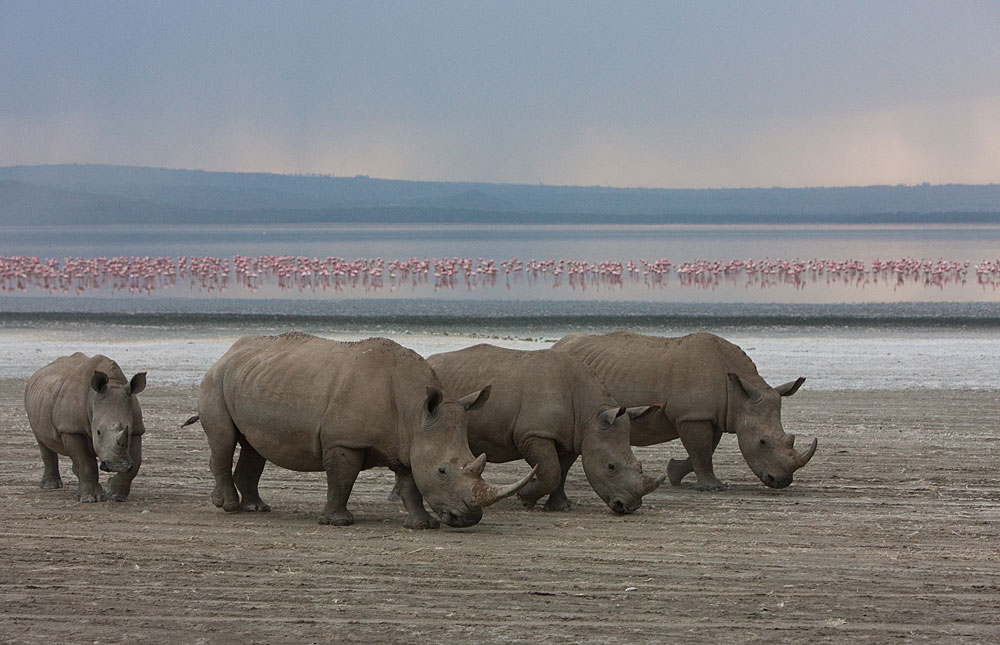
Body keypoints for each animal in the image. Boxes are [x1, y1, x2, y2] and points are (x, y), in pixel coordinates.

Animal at [25, 353, 147, 502]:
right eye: (98, 432)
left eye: (128, 430)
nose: (117, 465)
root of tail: (36, 373)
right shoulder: (71, 429)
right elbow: (86, 463)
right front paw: (90, 498)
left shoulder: (137, 429)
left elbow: (136, 462)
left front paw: (115, 494)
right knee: (42, 441)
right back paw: (50, 486)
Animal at [185, 333, 535, 529]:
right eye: (442, 471)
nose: (469, 520)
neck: (414, 409)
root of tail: (228, 353)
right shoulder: (344, 441)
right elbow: (342, 480)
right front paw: (338, 522)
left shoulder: (408, 440)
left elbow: (410, 483)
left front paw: (422, 526)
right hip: (215, 380)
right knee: (224, 440)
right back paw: (230, 507)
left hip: (252, 377)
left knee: (253, 446)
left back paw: (256, 508)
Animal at [427, 344, 665, 514]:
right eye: (611, 467)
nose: (629, 507)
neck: (590, 414)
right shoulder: (535, 434)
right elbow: (551, 471)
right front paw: (525, 498)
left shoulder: (571, 438)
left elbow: (562, 471)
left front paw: (561, 507)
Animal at [553, 331, 816, 490]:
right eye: (762, 442)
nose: (781, 481)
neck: (739, 394)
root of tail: (559, 344)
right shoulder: (693, 415)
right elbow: (701, 450)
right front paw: (713, 488)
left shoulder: (713, 415)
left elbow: (705, 449)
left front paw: (675, 474)